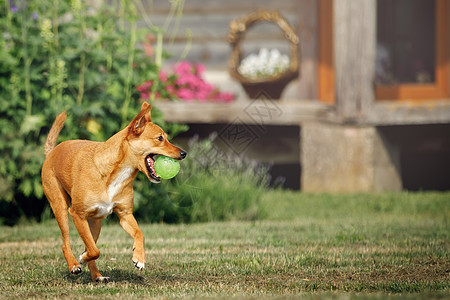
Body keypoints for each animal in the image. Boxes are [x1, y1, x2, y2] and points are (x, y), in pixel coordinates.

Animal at [41, 102, 186, 282]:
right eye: (160, 138)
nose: (184, 153)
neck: (114, 172)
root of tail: (51, 153)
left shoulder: (125, 215)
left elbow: (139, 234)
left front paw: (139, 258)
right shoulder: (77, 214)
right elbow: (94, 250)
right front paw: (81, 258)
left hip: (95, 223)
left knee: (90, 245)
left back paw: (97, 276)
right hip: (60, 208)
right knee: (66, 242)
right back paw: (74, 265)